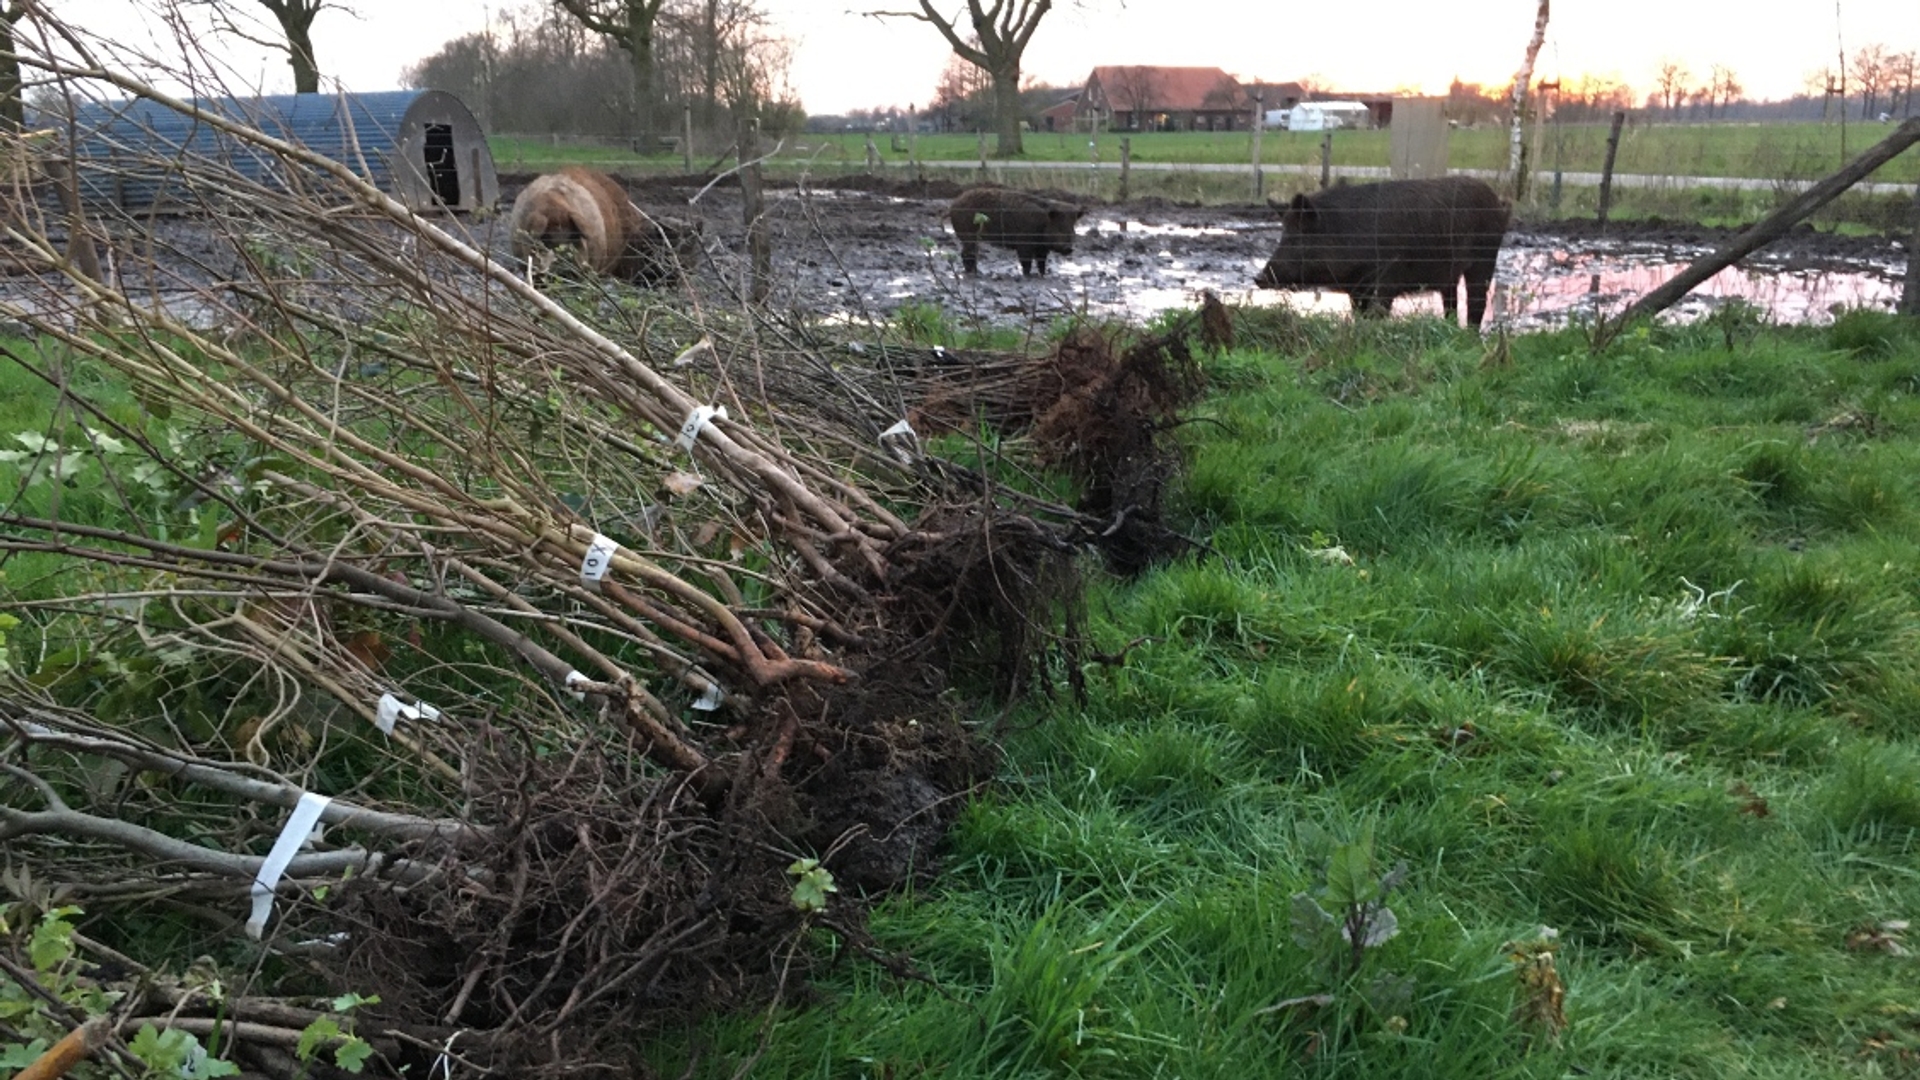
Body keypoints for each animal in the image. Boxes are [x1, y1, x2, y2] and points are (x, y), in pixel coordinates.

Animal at [952, 188, 1090, 276]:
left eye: (1072, 228)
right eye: (1059, 227)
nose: (1069, 248)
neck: (1042, 224)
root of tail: (955, 203)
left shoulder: (1042, 248)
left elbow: (1041, 262)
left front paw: (1043, 275)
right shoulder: (1024, 242)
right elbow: (1026, 262)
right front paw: (1027, 275)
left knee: (971, 254)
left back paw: (976, 272)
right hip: (968, 234)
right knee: (966, 254)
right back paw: (973, 273)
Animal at [1259, 174, 1512, 328]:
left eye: (1298, 236)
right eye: (1283, 233)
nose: (1259, 278)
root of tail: (1497, 202)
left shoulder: (1388, 278)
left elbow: (1378, 314)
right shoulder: (1357, 290)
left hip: (1485, 258)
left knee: (1477, 304)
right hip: (1449, 274)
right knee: (1451, 305)